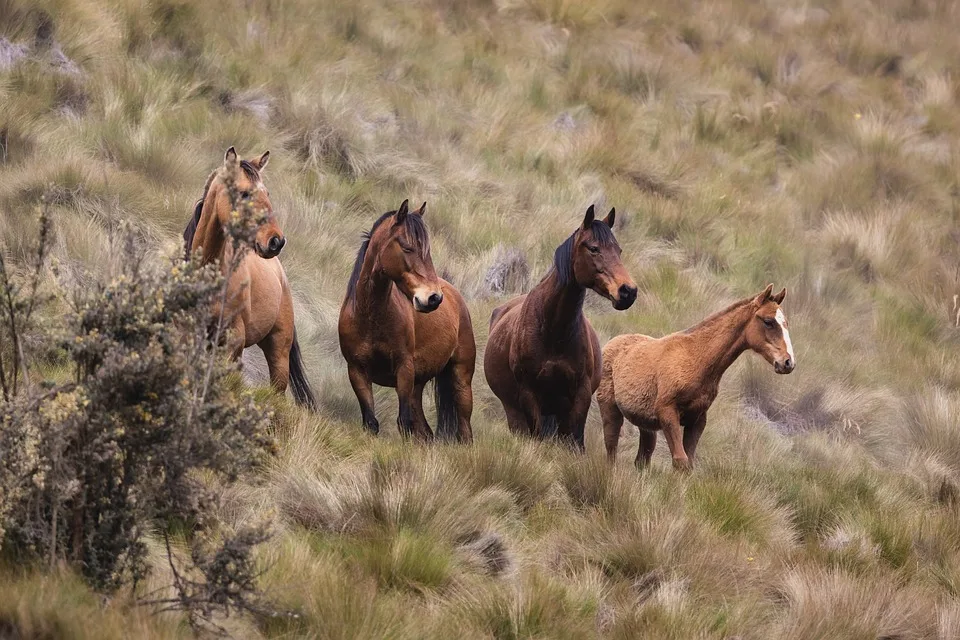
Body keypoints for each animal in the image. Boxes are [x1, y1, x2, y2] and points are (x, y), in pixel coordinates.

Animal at [338, 199, 476, 440]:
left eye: (427, 251)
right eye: (407, 247)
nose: (433, 298)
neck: (370, 318)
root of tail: (455, 295)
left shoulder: (404, 369)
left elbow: (403, 422)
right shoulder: (357, 371)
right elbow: (371, 422)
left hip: (461, 380)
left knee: (465, 430)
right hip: (417, 387)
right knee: (425, 432)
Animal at [488, 205, 636, 450]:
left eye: (619, 250)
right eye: (594, 248)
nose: (628, 292)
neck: (553, 331)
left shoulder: (580, 395)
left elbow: (572, 440)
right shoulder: (529, 394)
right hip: (515, 411)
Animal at [600, 284, 796, 470]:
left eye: (786, 323)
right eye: (768, 321)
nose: (788, 362)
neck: (696, 359)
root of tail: (610, 344)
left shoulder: (697, 419)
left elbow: (689, 463)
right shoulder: (667, 413)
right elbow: (681, 461)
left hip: (646, 425)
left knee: (641, 460)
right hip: (610, 410)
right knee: (611, 452)